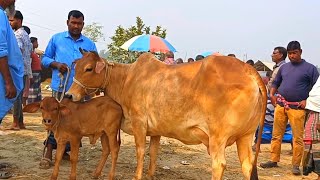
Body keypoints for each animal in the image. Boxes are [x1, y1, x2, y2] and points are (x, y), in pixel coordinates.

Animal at [66, 51, 266, 179]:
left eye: (89, 68)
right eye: (77, 67)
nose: (69, 95)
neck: (125, 79)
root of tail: (249, 71)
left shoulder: (139, 123)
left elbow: (140, 151)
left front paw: (137, 176)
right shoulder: (156, 131)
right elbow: (153, 153)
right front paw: (149, 175)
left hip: (218, 137)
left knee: (219, 165)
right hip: (245, 136)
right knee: (247, 165)